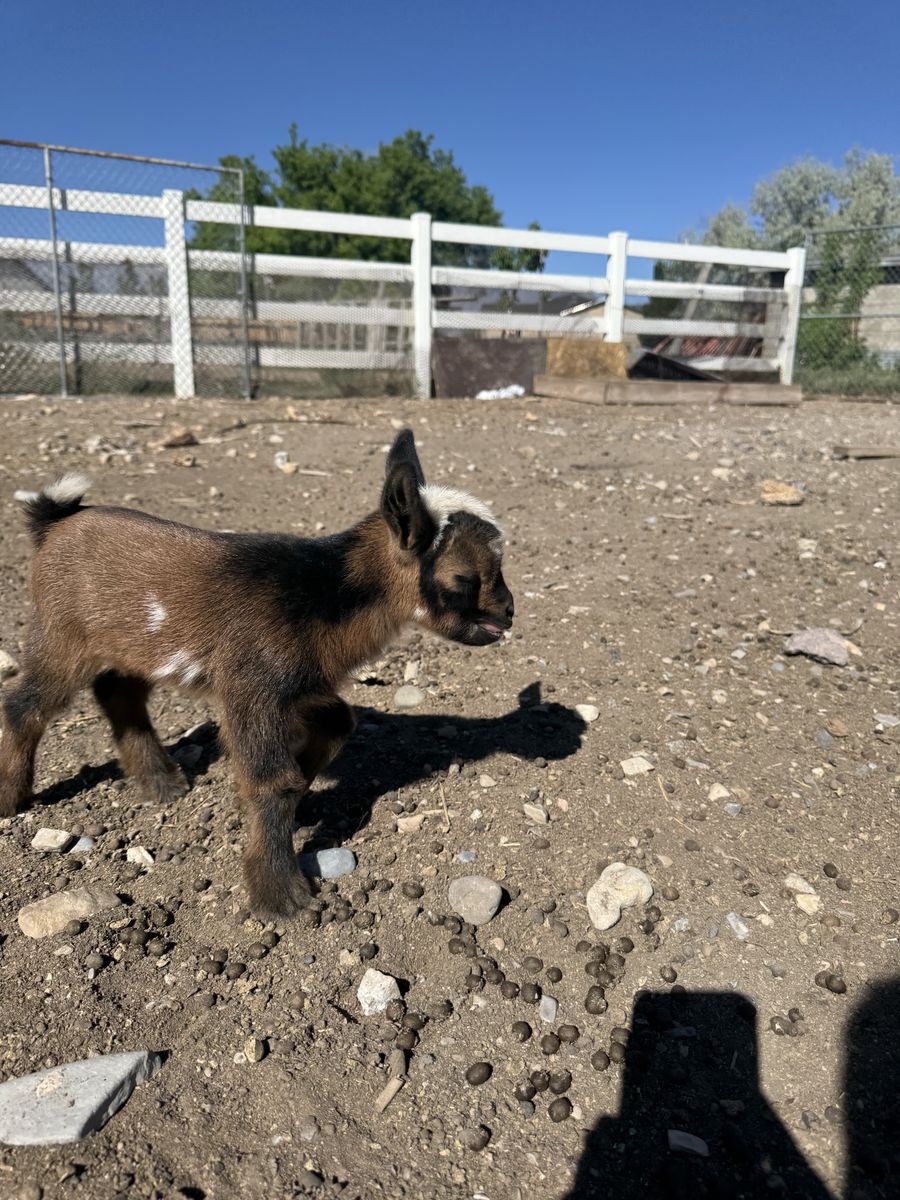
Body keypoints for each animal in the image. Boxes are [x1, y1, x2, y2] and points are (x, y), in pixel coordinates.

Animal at [0, 429, 514, 915]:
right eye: (465, 578)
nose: (508, 613)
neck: (325, 593)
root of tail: (52, 522)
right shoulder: (253, 684)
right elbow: (273, 782)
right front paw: (281, 896)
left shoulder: (300, 686)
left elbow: (337, 726)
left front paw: (303, 806)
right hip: (62, 632)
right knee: (26, 704)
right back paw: (11, 797)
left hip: (129, 642)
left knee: (116, 690)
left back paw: (162, 783)